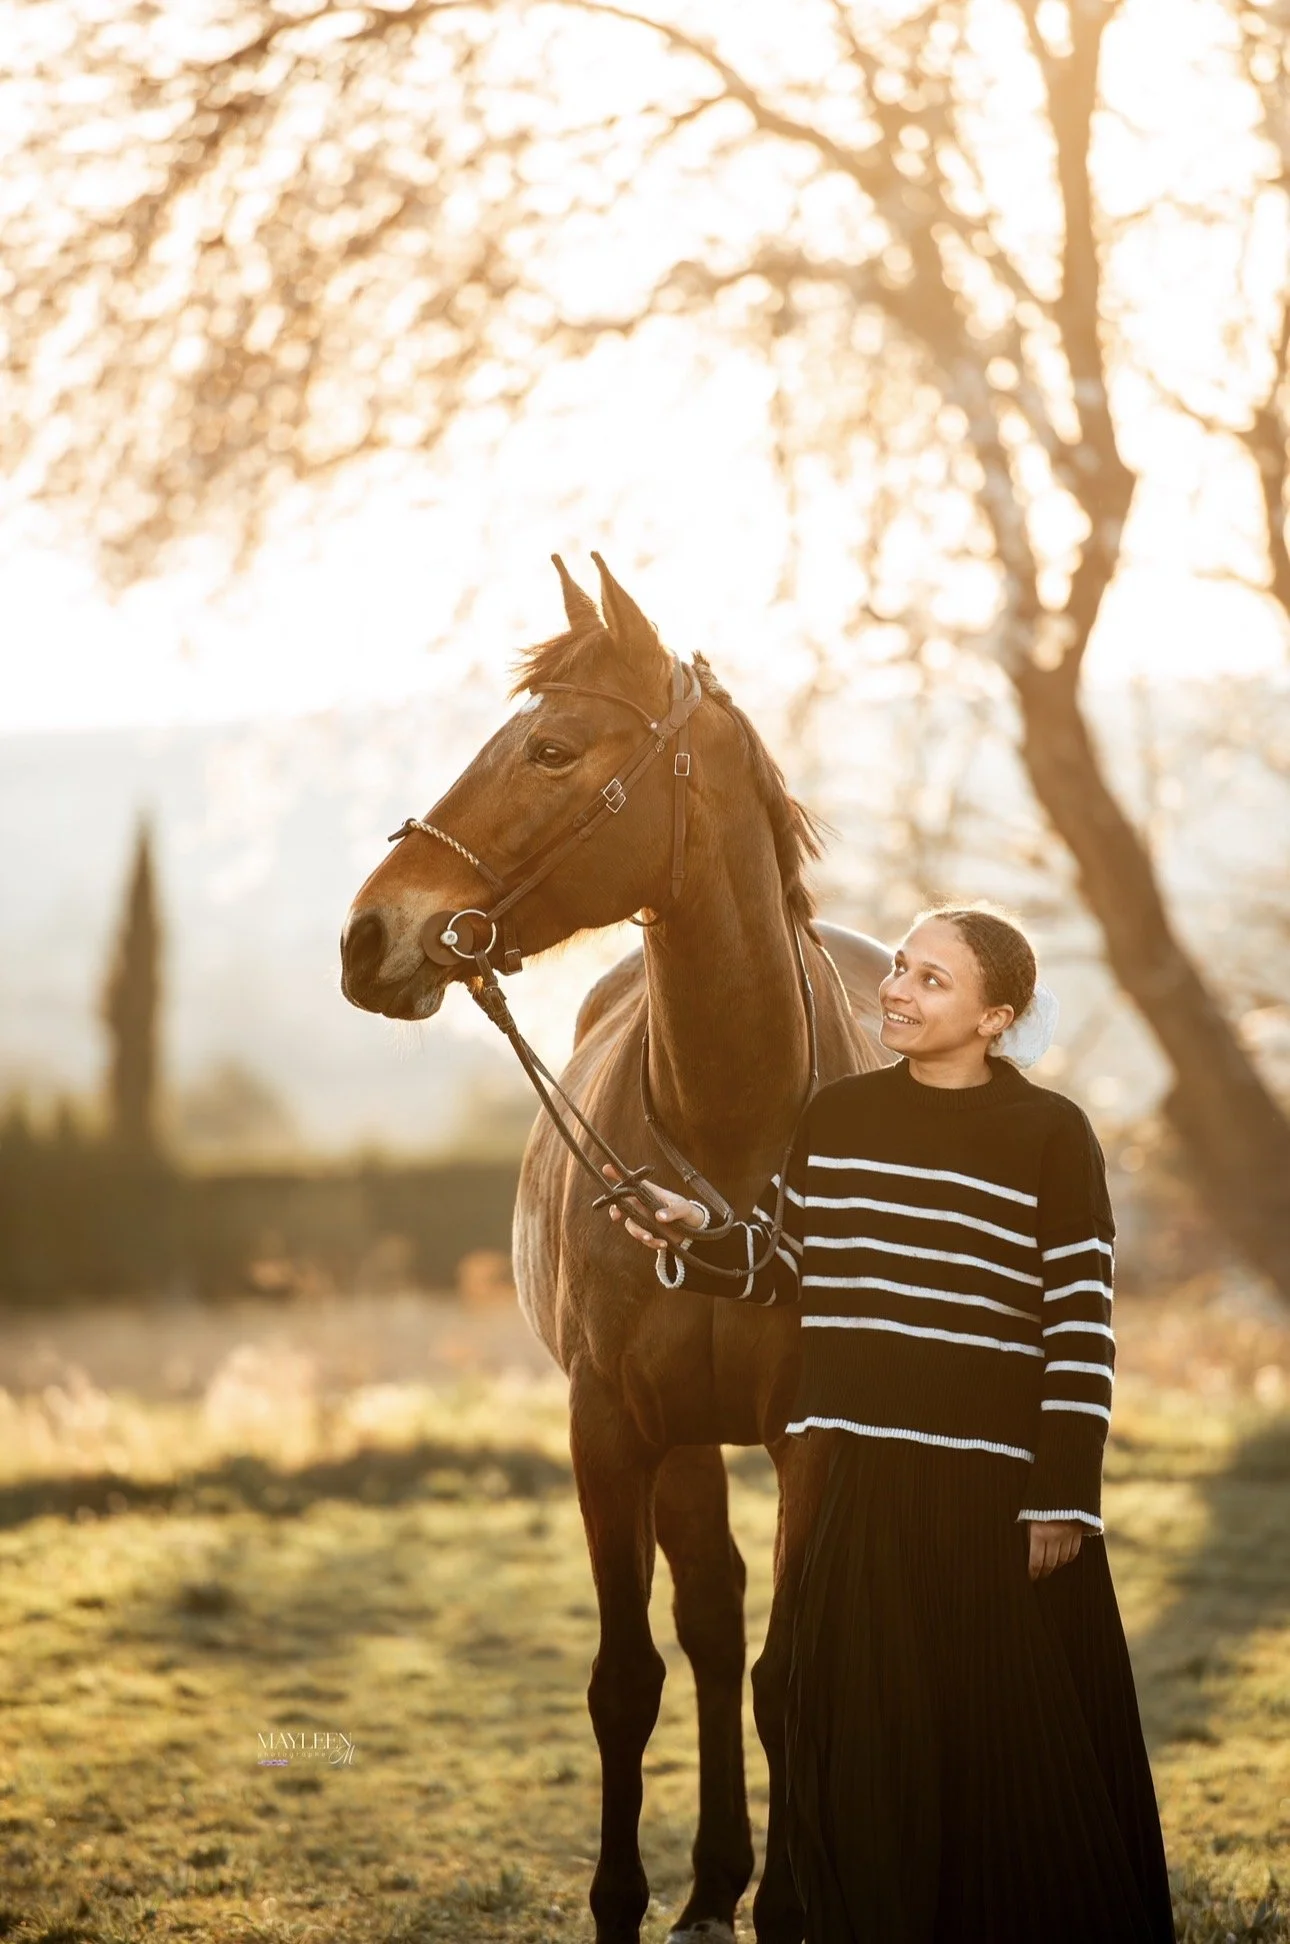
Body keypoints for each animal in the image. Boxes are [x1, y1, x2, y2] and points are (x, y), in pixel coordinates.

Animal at [341, 554, 890, 1944]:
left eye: (550, 749)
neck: (732, 1145)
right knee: (707, 1617)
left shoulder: (816, 1436)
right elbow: (627, 1677)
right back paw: (710, 1884)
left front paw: (792, 1901)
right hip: (684, 1440)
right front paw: (626, 1899)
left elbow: (790, 1671)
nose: (369, 937)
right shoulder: (610, 1428)